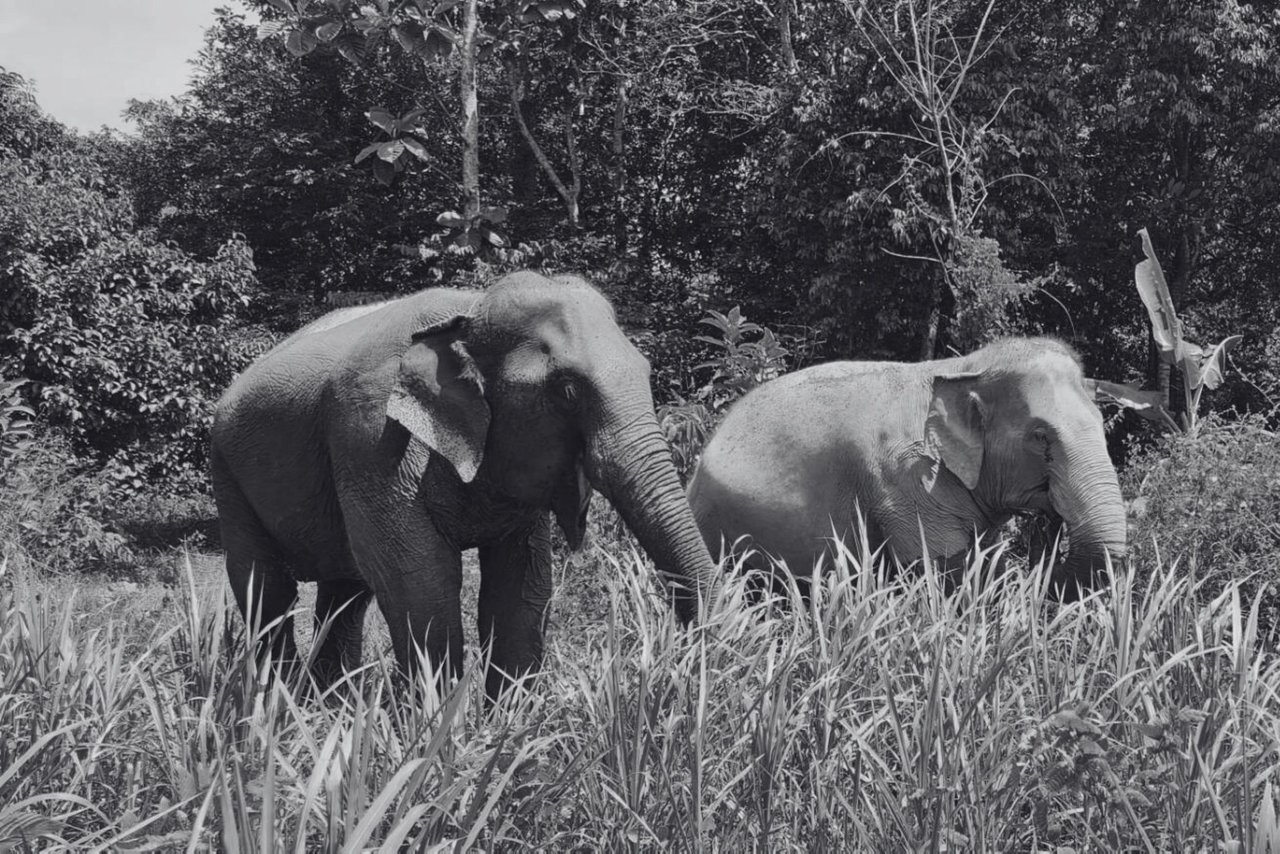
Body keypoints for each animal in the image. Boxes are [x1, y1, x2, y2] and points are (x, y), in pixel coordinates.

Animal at [204, 270, 716, 696]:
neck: (469, 311)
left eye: (646, 372)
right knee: (267, 591)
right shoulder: (370, 436)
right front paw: (438, 732)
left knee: (344, 595)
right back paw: (280, 708)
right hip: (227, 472)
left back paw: (330, 708)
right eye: (567, 390)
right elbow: (418, 579)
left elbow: (520, 584)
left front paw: (507, 732)